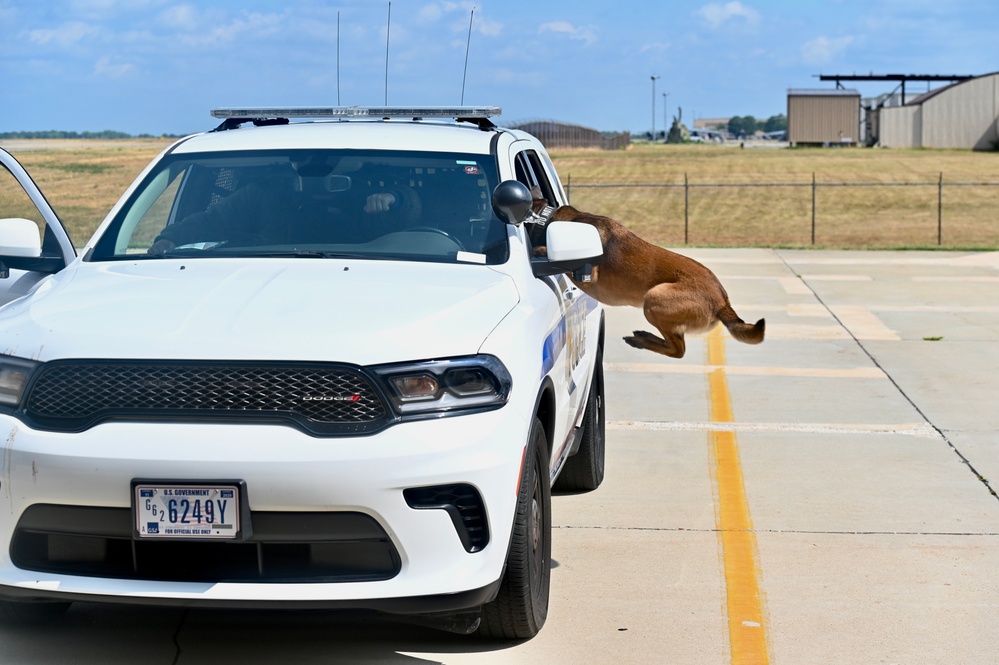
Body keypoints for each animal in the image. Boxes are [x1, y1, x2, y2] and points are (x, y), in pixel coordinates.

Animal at [532, 197, 764, 358]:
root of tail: (723, 302)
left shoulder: (587, 275)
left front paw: (539, 250)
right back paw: (644, 337)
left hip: (654, 299)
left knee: (678, 350)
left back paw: (641, 341)